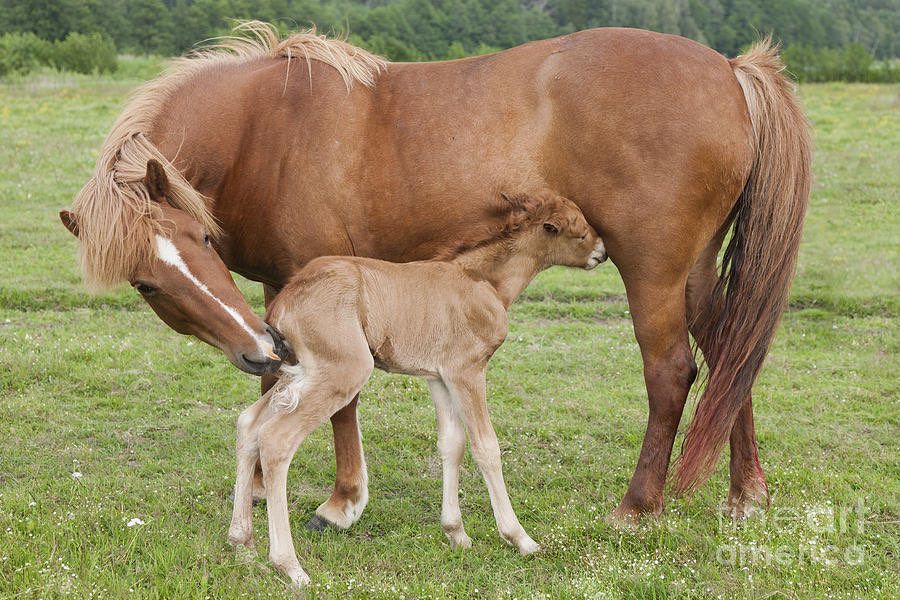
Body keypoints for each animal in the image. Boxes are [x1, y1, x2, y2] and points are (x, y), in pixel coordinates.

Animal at [59, 22, 812, 524]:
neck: (260, 129)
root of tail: (729, 71)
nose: (248, 350)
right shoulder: (279, 294)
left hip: (652, 271)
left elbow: (335, 396)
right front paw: (262, 483)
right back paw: (746, 492)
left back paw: (638, 505)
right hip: (694, 275)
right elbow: (280, 384)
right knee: (730, 359)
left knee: (673, 373)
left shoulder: (315, 280)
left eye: (196, 239)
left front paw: (342, 501)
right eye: (149, 282)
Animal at [227, 192, 604, 584]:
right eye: (578, 230)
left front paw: (456, 533)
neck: (484, 281)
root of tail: (285, 301)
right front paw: (520, 538)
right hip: (342, 372)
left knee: (249, 424)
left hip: (299, 374)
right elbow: (486, 447)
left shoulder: (439, 377)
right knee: (276, 439)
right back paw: (288, 565)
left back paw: (242, 543)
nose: (602, 251)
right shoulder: (467, 371)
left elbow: (452, 444)